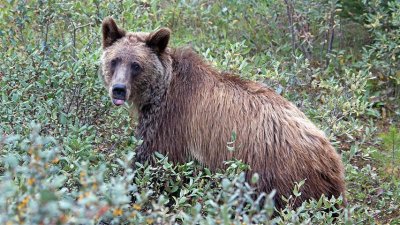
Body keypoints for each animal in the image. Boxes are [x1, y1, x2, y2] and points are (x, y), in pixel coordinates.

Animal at [100, 17, 346, 209]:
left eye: (136, 65)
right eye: (114, 60)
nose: (118, 89)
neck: (160, 91)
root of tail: (331, 158)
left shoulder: (172, 122)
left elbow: (153, 165)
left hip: (280, 176)